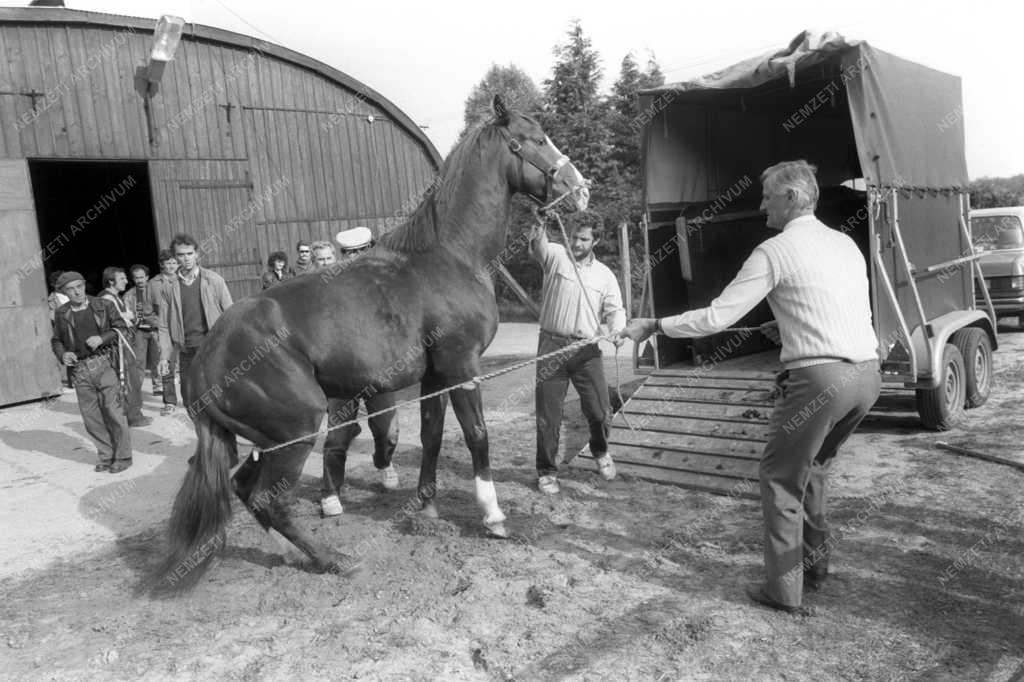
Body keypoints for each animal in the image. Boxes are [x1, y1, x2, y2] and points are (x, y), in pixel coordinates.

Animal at [148, 94, 589, 589]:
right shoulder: (461, 366)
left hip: (269, 440)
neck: (450, 256)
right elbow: (477, 435)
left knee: (246, 489)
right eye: (535, 140)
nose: (581, 189)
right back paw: (332, 559)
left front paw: (426, 505)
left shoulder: (435, 375)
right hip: (297, 431)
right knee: (267, 498)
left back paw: (290, 552)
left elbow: (432, 435)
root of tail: (205, 360)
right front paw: (493, 516)